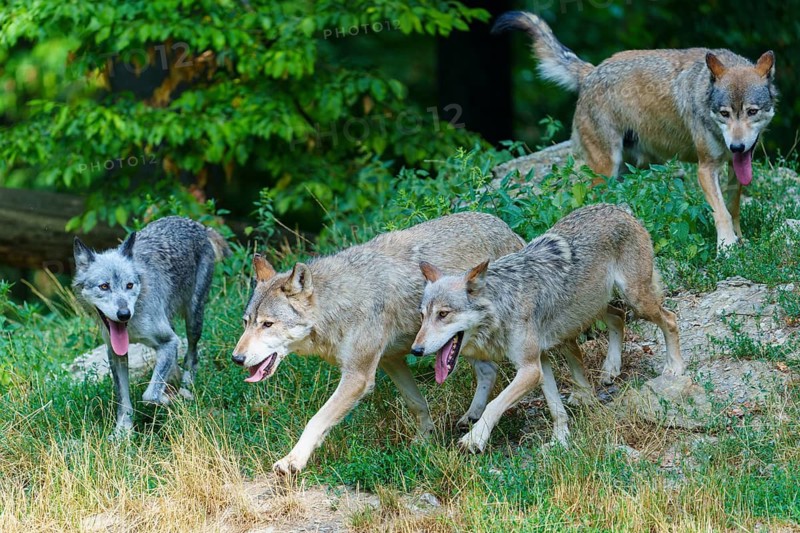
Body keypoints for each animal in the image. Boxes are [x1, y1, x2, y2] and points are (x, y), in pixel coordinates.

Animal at [73, 216, 230, 435]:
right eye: (104, 286)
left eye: (129, 285)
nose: (124, 314)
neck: (132, 324)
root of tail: (198, 225)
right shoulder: (116, 354)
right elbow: (124, 400)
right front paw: (123, 432)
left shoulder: (168, 341)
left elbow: (149, 396)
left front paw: (167, 399)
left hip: (194, 319)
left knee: (192, 356)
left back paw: (185, 386)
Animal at [230, 212, 525, 474]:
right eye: (246, 322)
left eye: (267, 324)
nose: (236, 358)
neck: (337, 305)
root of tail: (507, 228)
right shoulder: (390, 360)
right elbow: (416, 403)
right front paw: (424, 441)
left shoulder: (358, 376)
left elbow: (316, 420)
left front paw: (292, 461)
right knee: (488, 370)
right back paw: (471, 418)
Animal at [410, 204, 684, 453]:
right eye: (422, 316)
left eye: (443, 314)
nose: (415, 350)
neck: (504, 304)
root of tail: (618, 208)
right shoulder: (540, 362)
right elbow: (555, 407)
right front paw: (560, 441)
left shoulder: (530, 368)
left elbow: (495, 403)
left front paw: (474, 439)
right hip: (593, 306)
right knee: (618, 317)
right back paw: (610, 369)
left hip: (636, 300)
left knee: (670, 319)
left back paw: (675, 367)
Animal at [493, 11, 777, 250]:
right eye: (724, 113)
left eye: (751, 112)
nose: (737, 146)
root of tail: (591, 72)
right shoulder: (705, 168)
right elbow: (721, 212)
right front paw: (726, 248)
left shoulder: (737, 165)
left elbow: (733, 207)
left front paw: (740, 240)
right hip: (606, 168)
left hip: (629, 169)